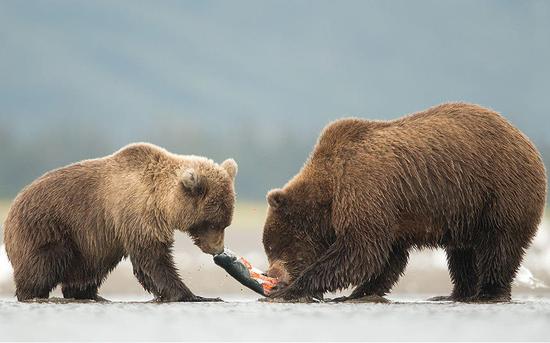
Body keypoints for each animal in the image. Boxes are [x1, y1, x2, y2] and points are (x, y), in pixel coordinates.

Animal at [3, 144, 237, 302]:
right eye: (213, 224)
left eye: (225, 223)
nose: (218, 249)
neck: (161, 203)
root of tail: (11, 209)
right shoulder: (138, 215)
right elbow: (152, 260)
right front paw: (193, 295)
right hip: (47, 228)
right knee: (42, 267)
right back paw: (32, 294)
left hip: (86, 243)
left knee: (87, 270)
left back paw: (93, 296)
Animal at [266, 103, 548, 302]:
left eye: (272, 246)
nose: (270, 275)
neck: (331, 192)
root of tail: (525, 140)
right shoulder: (389, 211)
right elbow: (387, 258)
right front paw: (360, 293)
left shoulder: (365, 190)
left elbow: (360, 250)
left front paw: (289, 291)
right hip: (466, 210)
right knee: (462, 253)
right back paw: (454, 294)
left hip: (501, 192)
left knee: (499, 245)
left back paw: (489, 293)